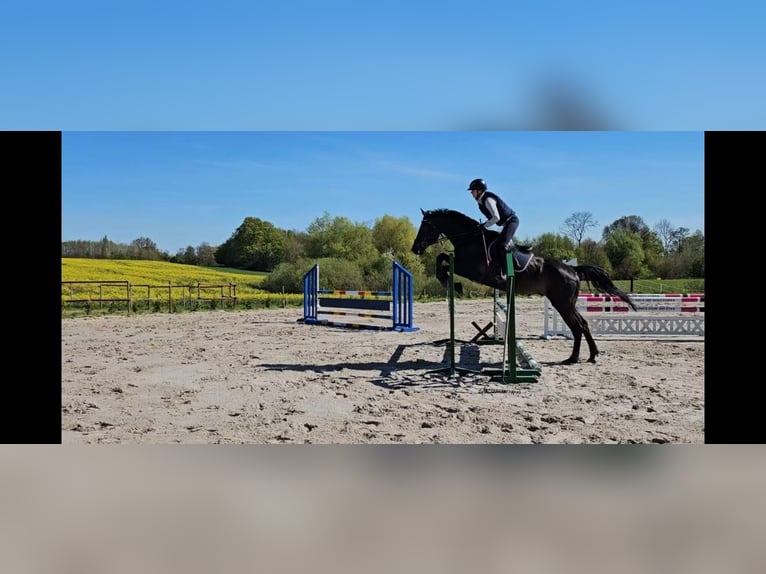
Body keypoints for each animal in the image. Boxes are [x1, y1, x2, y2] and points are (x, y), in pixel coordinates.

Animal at [410, 208, 638, 364]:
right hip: (568, 304)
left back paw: (572, 358)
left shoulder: (471, 269)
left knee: (577, 327)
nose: (415, 249)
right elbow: (442, 258)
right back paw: (592, 355)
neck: (470, 239)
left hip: (562, 304)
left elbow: (443, 259)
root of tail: (572, 270)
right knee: (583, 324)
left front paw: (452, 283)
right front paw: (450, 282)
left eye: (426, 226)